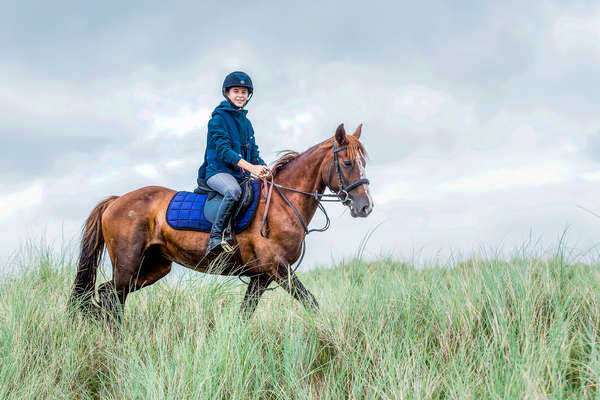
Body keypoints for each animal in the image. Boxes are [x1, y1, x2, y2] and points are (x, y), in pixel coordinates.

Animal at [68, 123, 372, 320]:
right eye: (347, 163)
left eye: (363, 163)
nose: (365, 206)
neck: (282, 202)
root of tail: (116, 201)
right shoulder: (277, 268)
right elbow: (311, 302)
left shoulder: (261, 276)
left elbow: (244, 315)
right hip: (127, 265)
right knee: (113, 300)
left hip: (154, 266)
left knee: (106, 295)